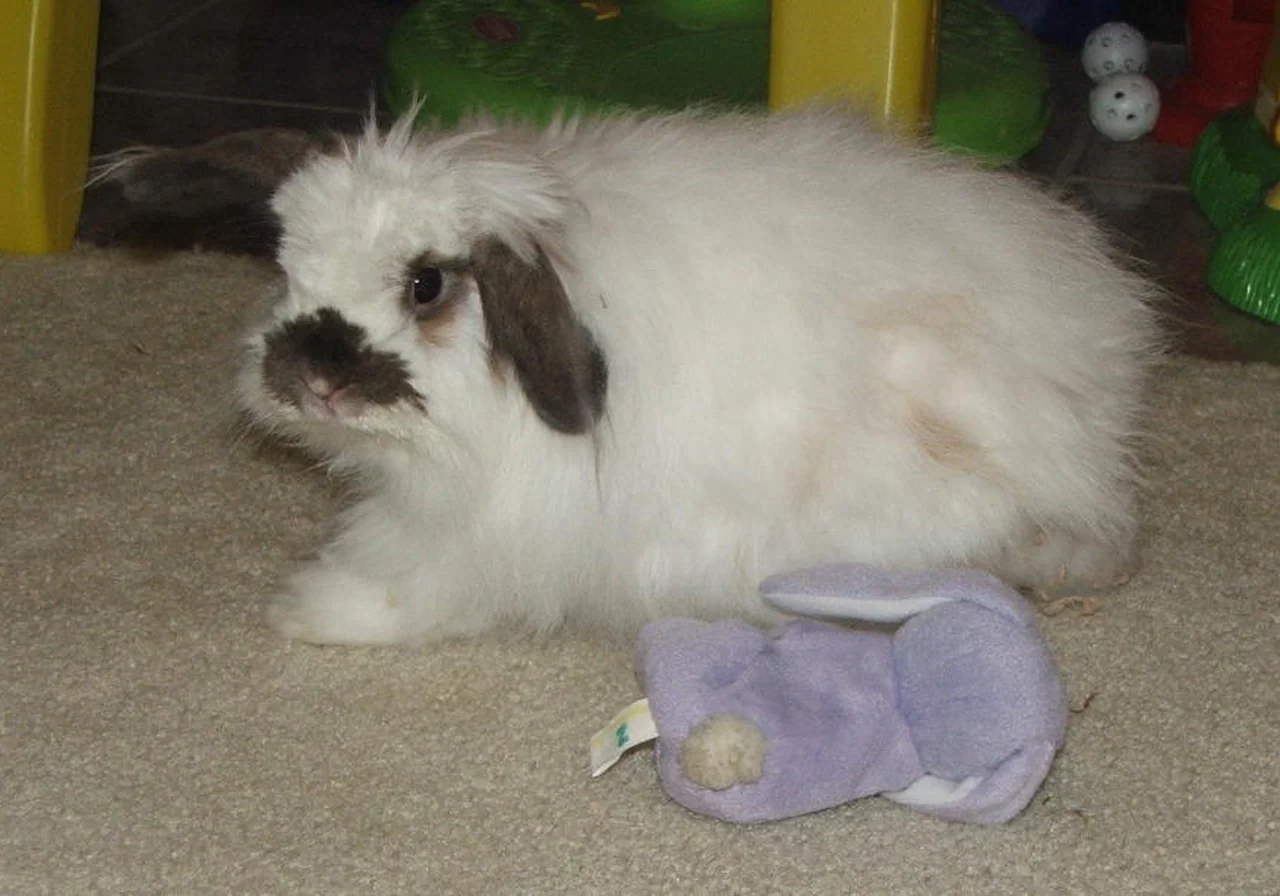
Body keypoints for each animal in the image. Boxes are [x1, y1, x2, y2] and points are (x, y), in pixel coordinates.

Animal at [234, 107, 1163, 646]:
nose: (307, 378)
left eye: (426, 284)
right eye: (288, 270)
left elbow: (407, 588)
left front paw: (303, 612)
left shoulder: (476, 535)